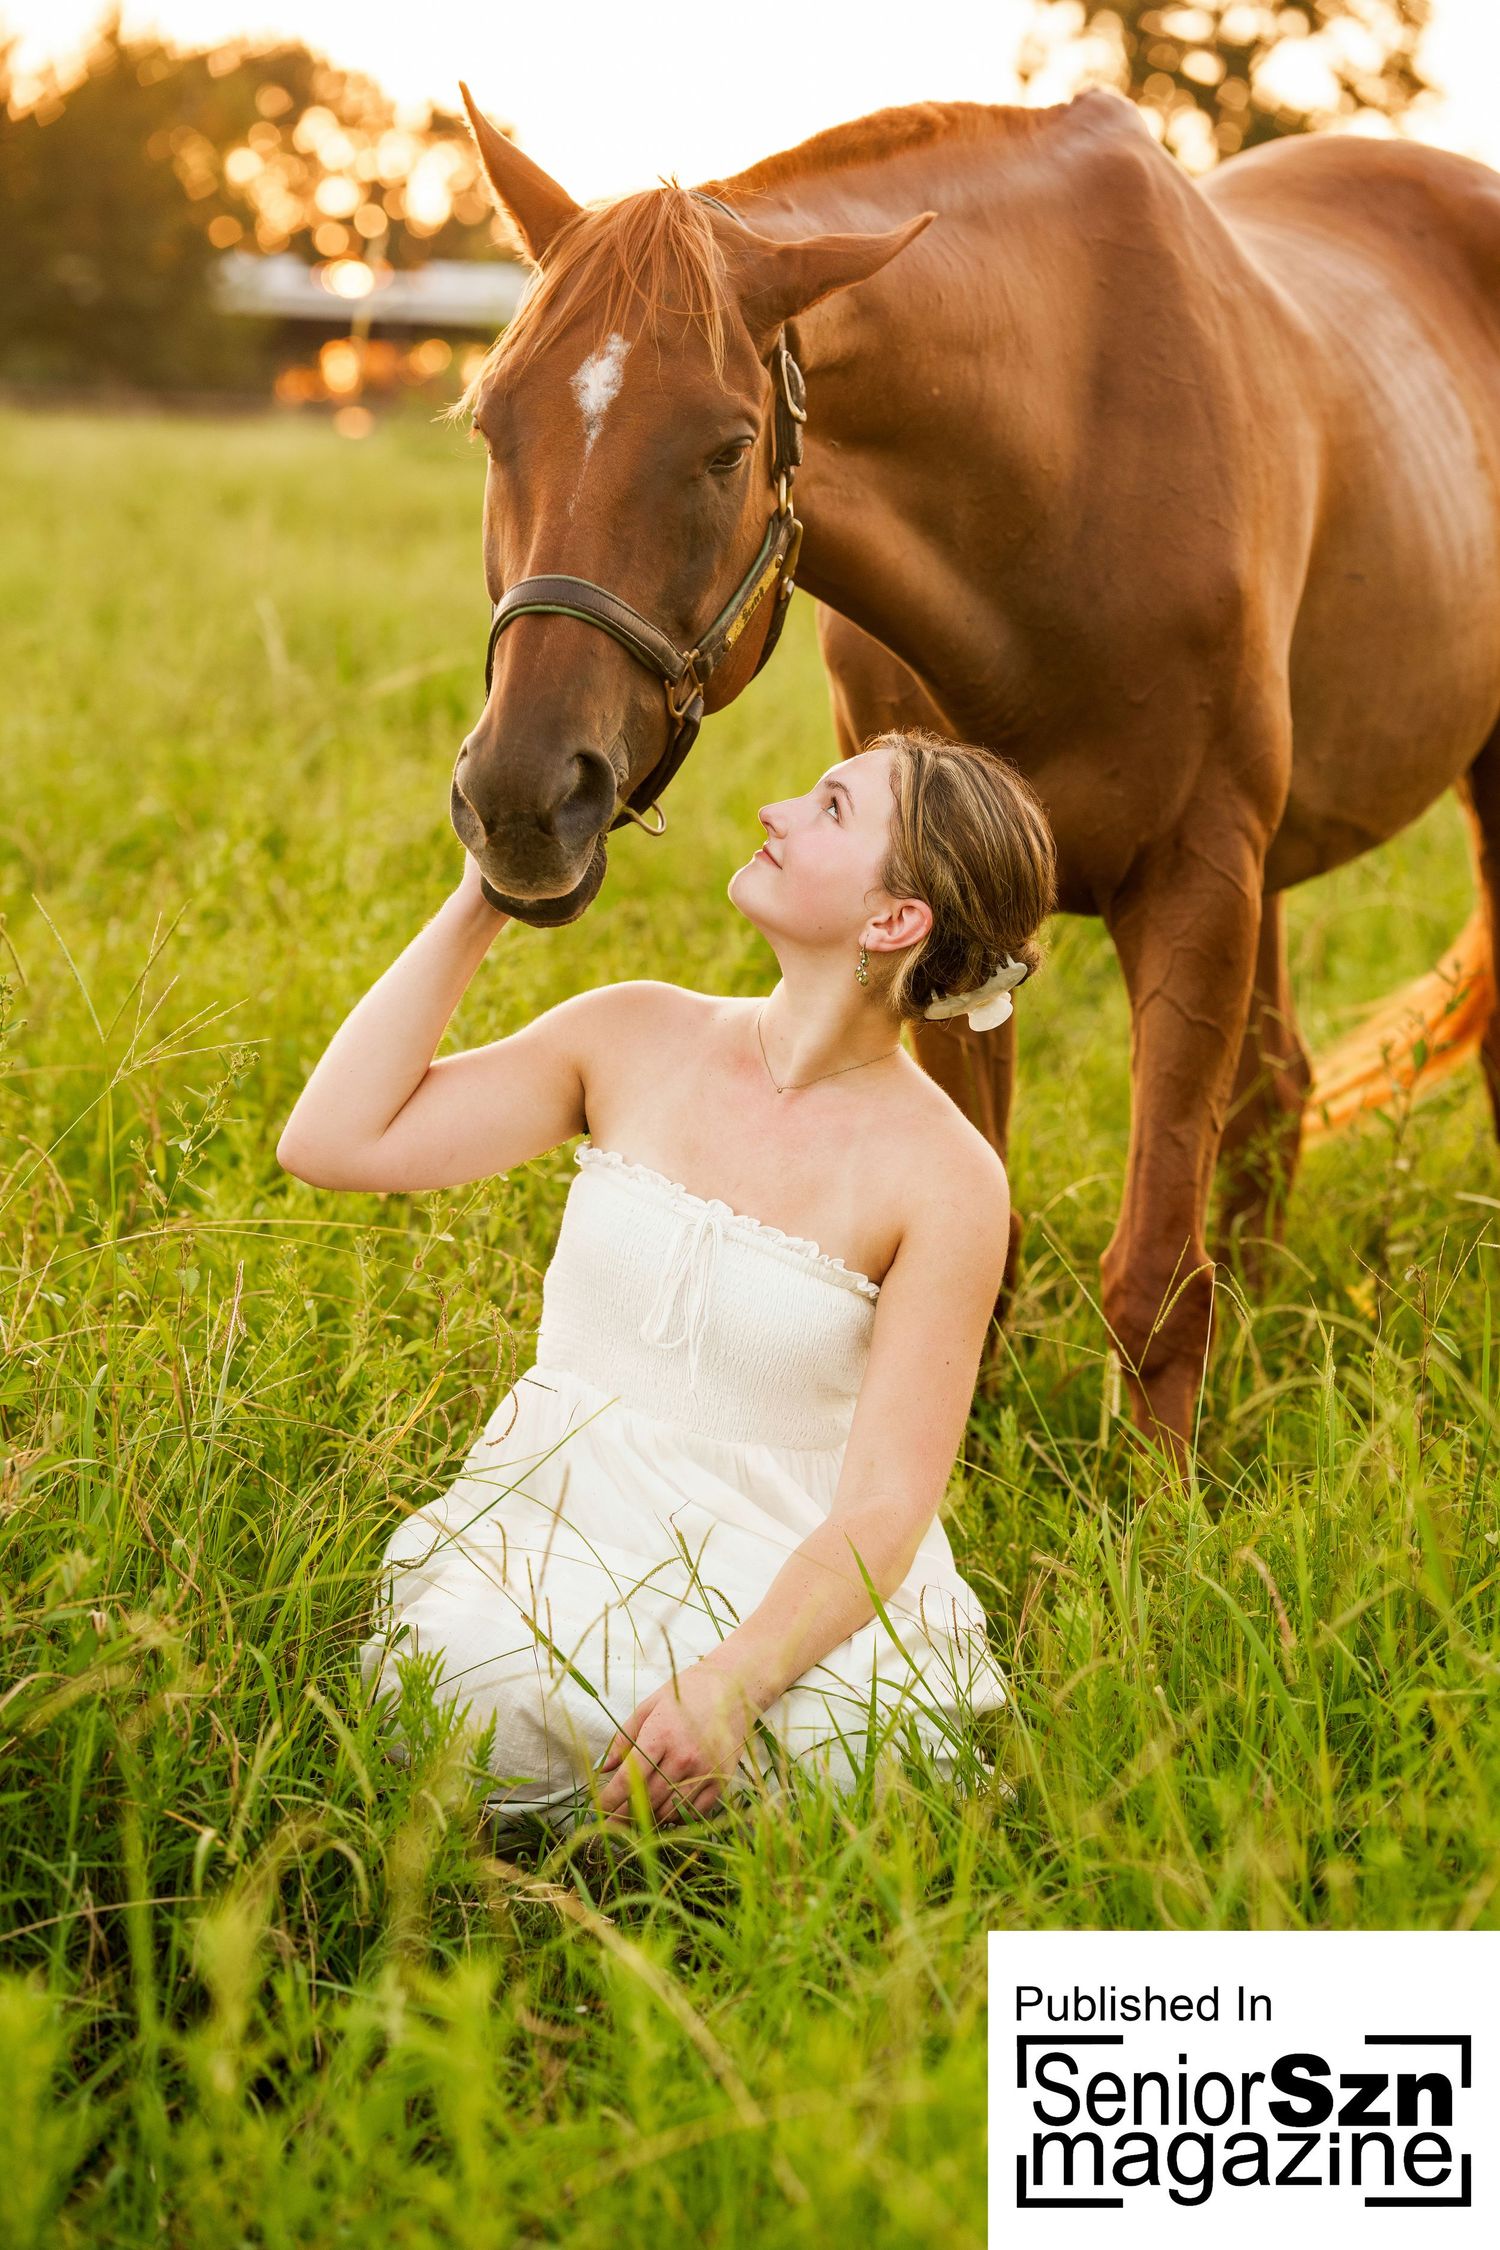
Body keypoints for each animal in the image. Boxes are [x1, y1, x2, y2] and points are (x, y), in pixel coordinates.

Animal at [449, 83, 1498, 1457]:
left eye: (727, 449)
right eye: (491, 422)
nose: (523, 799)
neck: (1064, 474)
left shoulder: (1196, 878)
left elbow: (1154, 1275)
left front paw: (1156, 1501)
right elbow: (978, 1244)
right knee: (1274, 1101)